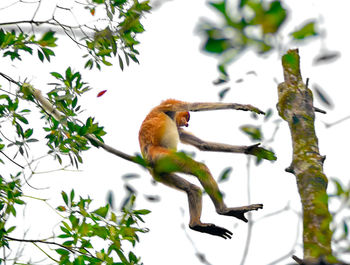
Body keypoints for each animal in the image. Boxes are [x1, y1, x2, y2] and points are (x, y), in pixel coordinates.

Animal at [138, 98, 264, 238]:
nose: (186, 123)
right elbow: (194, 106)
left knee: (192, 189)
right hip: (161, 157)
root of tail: (147, 161)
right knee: (200, 168)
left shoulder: (177, 127)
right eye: (186, 117)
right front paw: (242, 106)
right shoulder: (171, 105)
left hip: (161, 173)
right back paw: (224, 211)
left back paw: (196, 224)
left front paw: (249, 149)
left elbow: (202, 144)